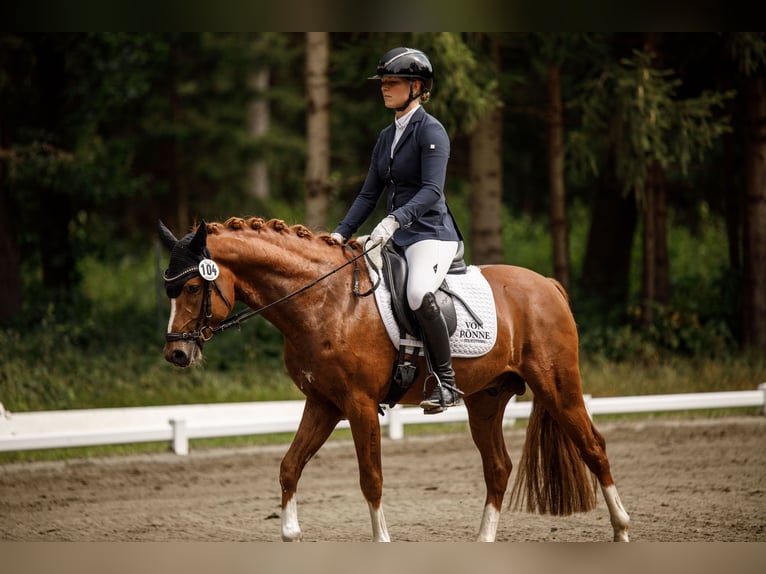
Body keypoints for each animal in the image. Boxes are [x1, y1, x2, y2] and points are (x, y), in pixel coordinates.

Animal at [159, 217, 632, 544]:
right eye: (170, 291)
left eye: (192, 288)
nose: (176, 355)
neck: (323, 301)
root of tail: (548, 285)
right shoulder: (323, 403)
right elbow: (290, 465)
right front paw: (290, 533)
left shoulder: (360, 404)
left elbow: (371, 477)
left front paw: (381, 540)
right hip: (486, 400)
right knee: (498, 467)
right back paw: (484, 539)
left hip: (558, 388)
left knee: (594, 448)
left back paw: (622, 529)